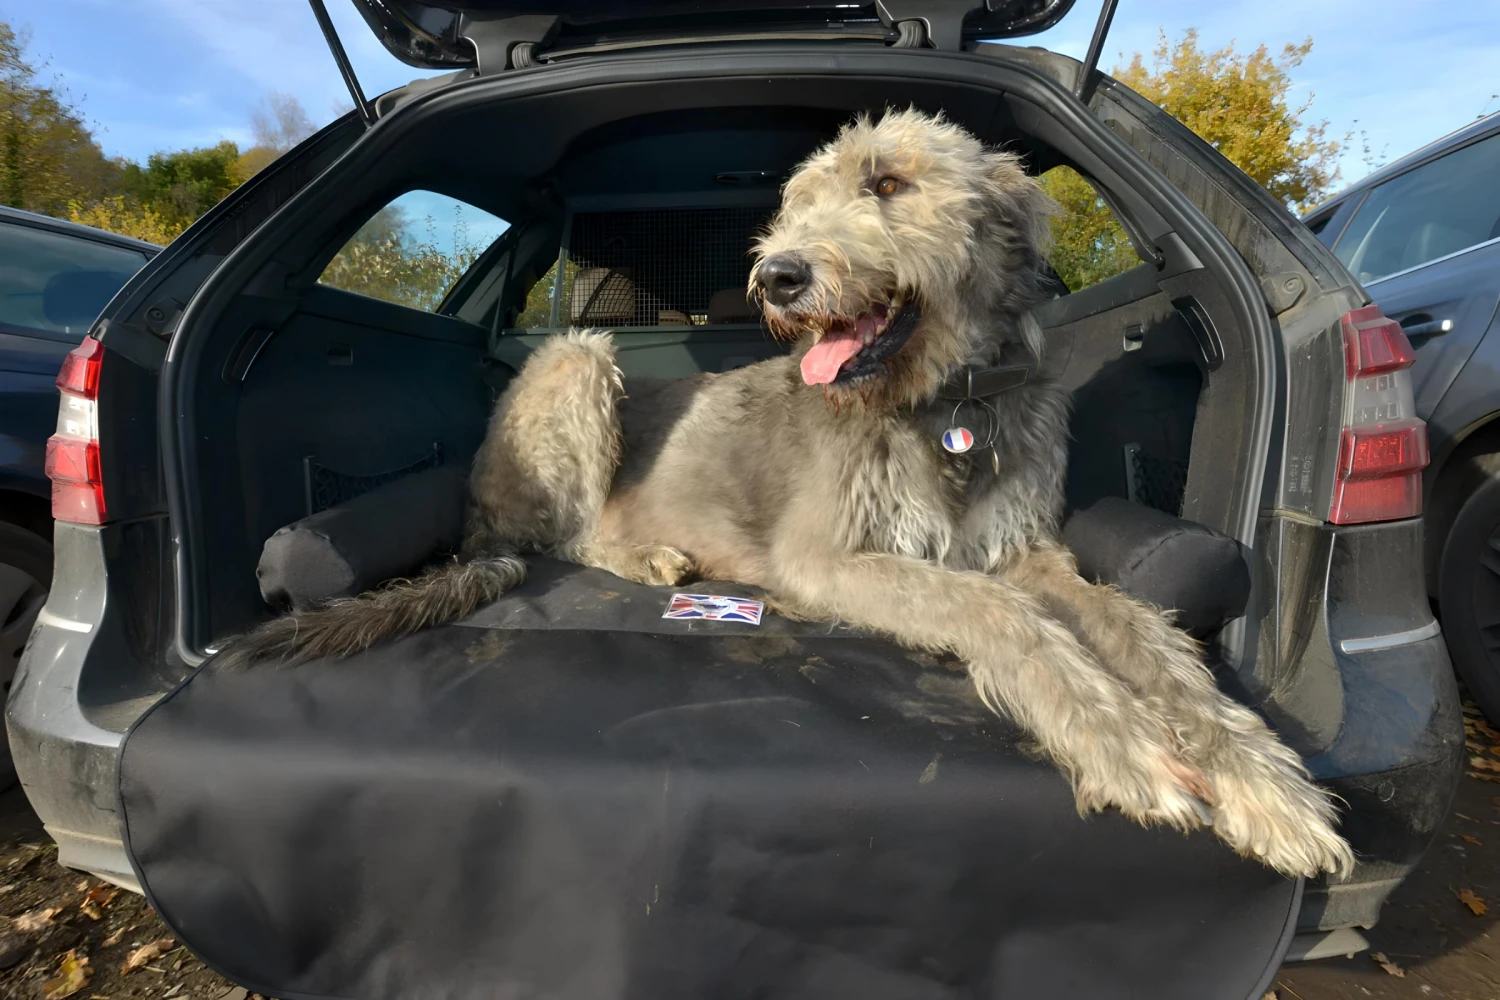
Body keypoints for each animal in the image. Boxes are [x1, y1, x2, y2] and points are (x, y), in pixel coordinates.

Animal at [225, 105, 1362, 881]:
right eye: (795, 205)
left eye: (889, 185)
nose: (777, 276)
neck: (940, 401)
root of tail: (476, 516)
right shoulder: (831, 556)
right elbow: (998, 614)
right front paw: (1128, 747)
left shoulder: (1026, 547)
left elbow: (1138, 631)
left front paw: (1261, 782)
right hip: (578, 362)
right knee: (567, 532)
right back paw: (650, 554)